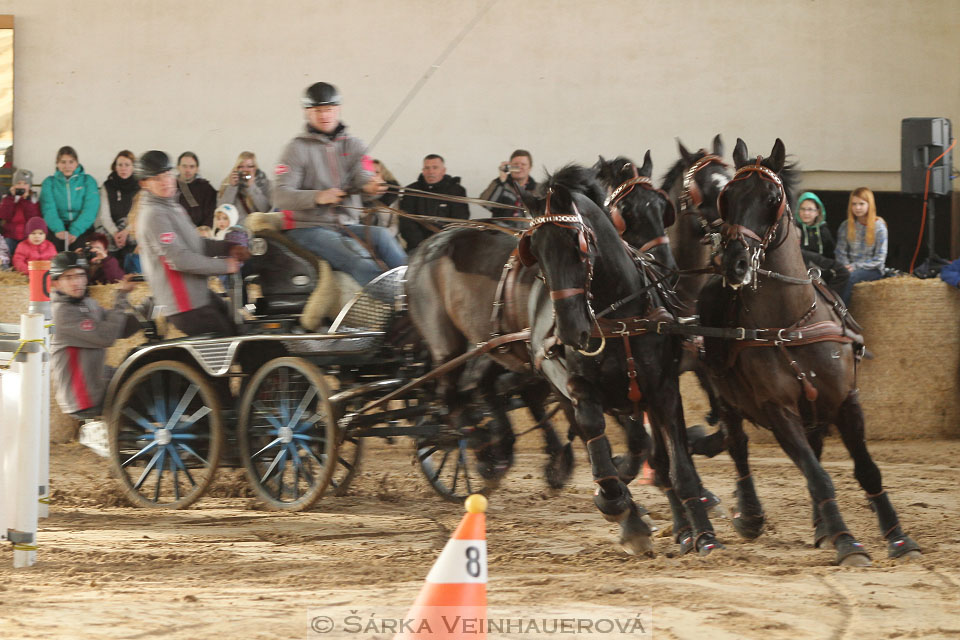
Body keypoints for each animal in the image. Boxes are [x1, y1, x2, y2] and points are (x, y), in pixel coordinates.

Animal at [696, 139, 924, 564]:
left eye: (772, 198)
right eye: (727, 197)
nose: (734, 261)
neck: (793, 323)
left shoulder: (846, 399)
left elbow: (866, 470)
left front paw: (898, 537)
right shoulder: (778, 409)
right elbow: (817, 475)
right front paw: (847, 540)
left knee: (812, 449)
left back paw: (822, 527)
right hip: (728, 398)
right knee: (739, 446)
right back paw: (752, 514)